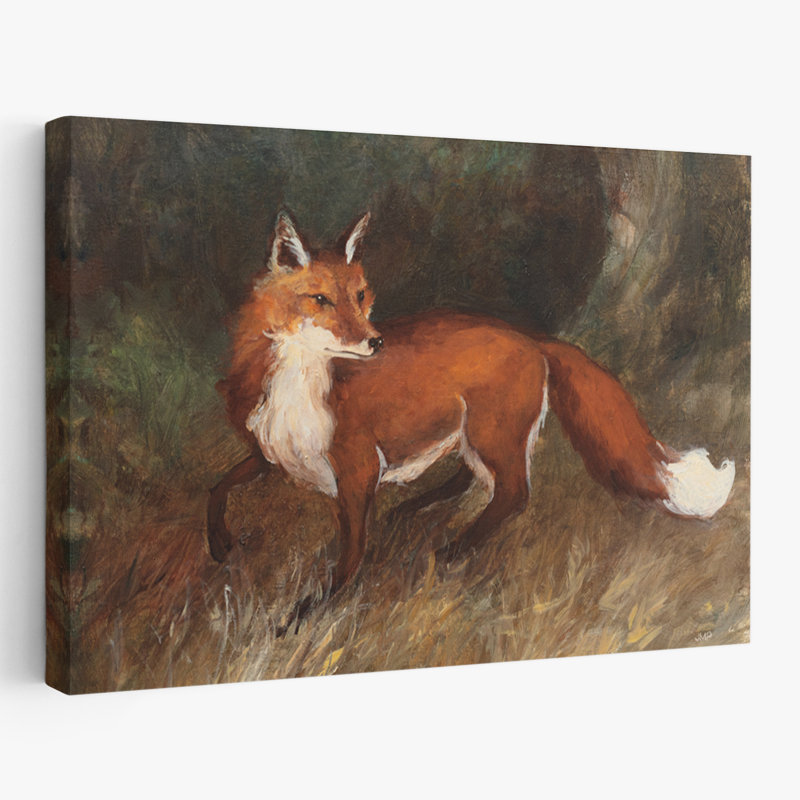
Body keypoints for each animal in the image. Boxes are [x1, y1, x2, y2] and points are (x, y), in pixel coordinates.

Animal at [208, 210, 735, 629]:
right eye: (320, 299)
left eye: (360, 296)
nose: (375, 342)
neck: (300, 385)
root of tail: (531, 338)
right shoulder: (270, 453)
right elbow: (217, 487)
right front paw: (219, 545)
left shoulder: (357, 470)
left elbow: (350, 556)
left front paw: (305, 615)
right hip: (474, 434)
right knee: (472, 480)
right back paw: (414, 512)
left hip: (490, 434)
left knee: (513, 494)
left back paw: (452, 551)